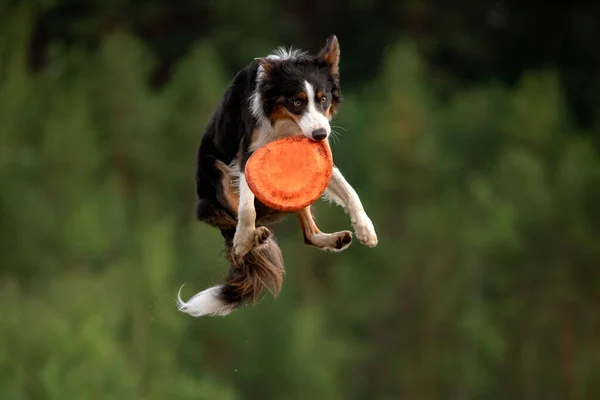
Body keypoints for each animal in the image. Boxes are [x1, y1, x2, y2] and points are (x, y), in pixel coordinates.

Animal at [176, 34, 378, 318]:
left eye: (323, 99)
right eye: (297, 101)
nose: (320, 134)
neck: (286, 123)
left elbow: (351, 192)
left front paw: (366, 230)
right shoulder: (248, 153)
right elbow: (246, 206)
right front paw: (243, 239)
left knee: (308, 235)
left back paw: (335, 239)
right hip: (216, 172)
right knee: (238, 221)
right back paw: (252, 237)